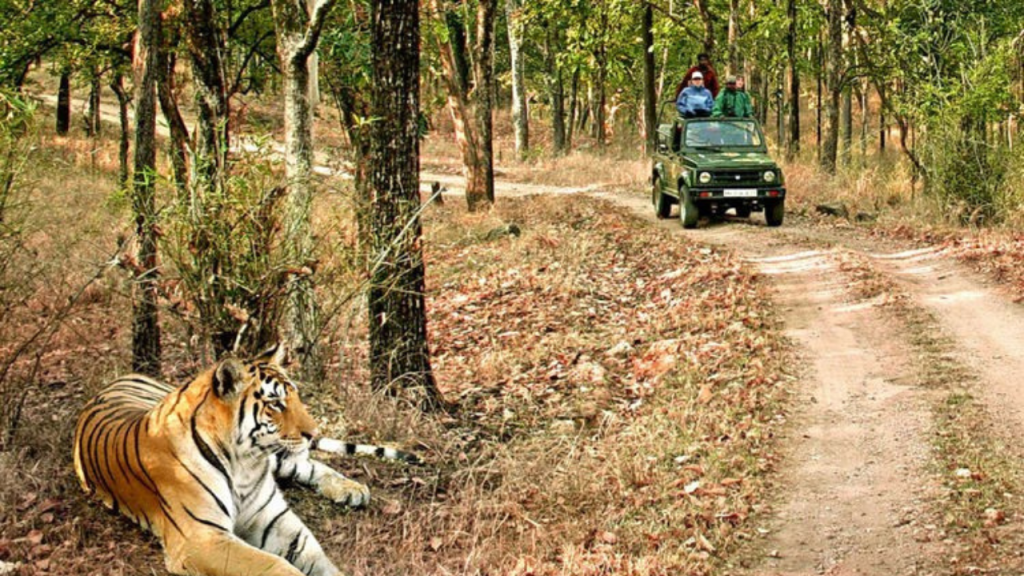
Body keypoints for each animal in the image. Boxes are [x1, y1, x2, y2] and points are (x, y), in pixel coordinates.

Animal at [73, 344, 405, 576]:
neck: (246, 463)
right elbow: (276, 566)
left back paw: (352, 489)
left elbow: (319, 558)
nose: (314, 433)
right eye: (276, 403)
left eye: (296, 396)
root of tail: (124, 375)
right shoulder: (202, 537)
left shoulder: (275, 520)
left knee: (309, 464)